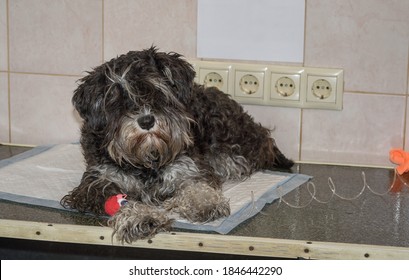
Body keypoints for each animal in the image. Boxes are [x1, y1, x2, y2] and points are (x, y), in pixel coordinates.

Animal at [60, 46, 292, 243]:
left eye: (156, 90)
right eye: (116, 100)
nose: (146, 121)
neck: (147, 160)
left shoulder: (190, 167)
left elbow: (196, 184)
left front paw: (204, 202)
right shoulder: (96, 182)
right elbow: (118, 201)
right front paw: (140, 217)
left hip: (232, 151)